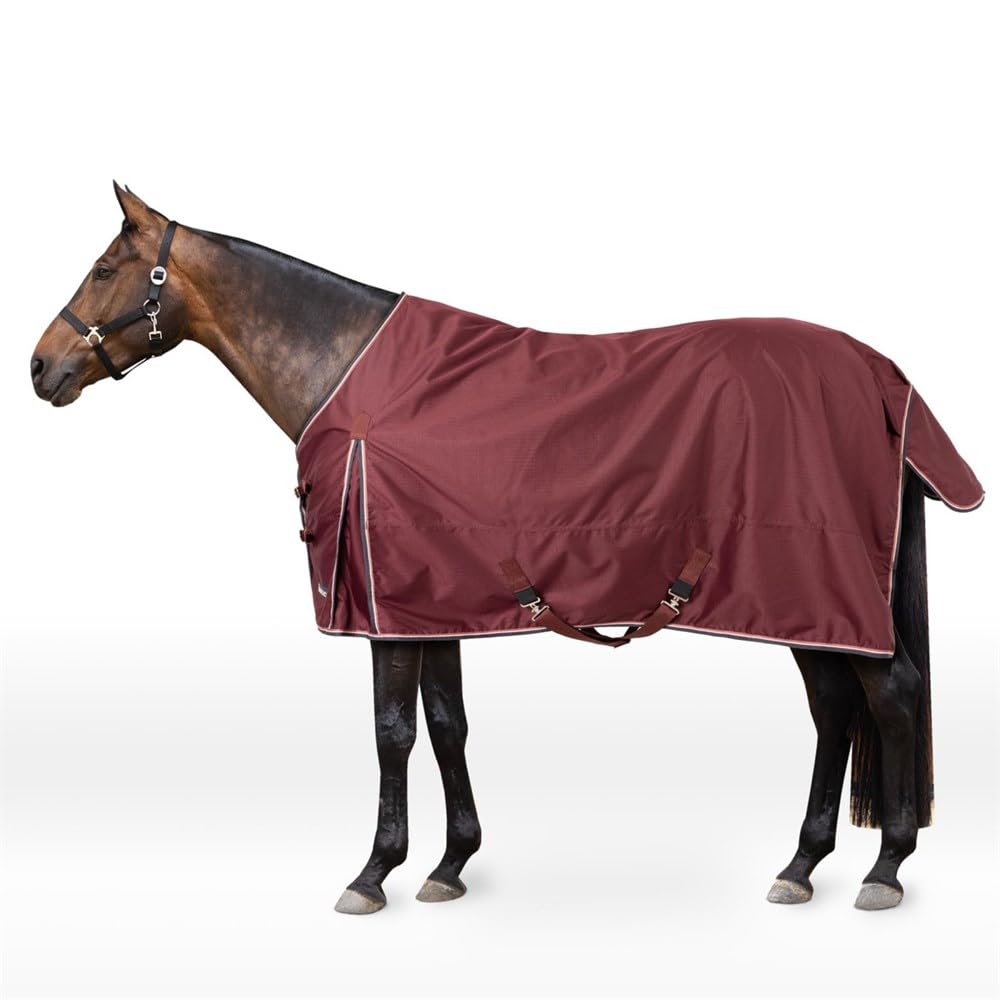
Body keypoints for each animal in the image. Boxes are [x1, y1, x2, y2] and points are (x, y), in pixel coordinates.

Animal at [31, 183, 983, 914]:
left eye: (105, 268)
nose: (40, 368)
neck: (350, 377)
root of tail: (884, 379)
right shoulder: (431, 600)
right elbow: (446, 724)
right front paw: (450, 865)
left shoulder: (384, 609)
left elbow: (391, 733)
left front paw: (373, 874)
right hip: (800, 604)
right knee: (836, 709)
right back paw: (802, 865)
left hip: (822, 588)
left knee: (891, 696)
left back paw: (886, 869)